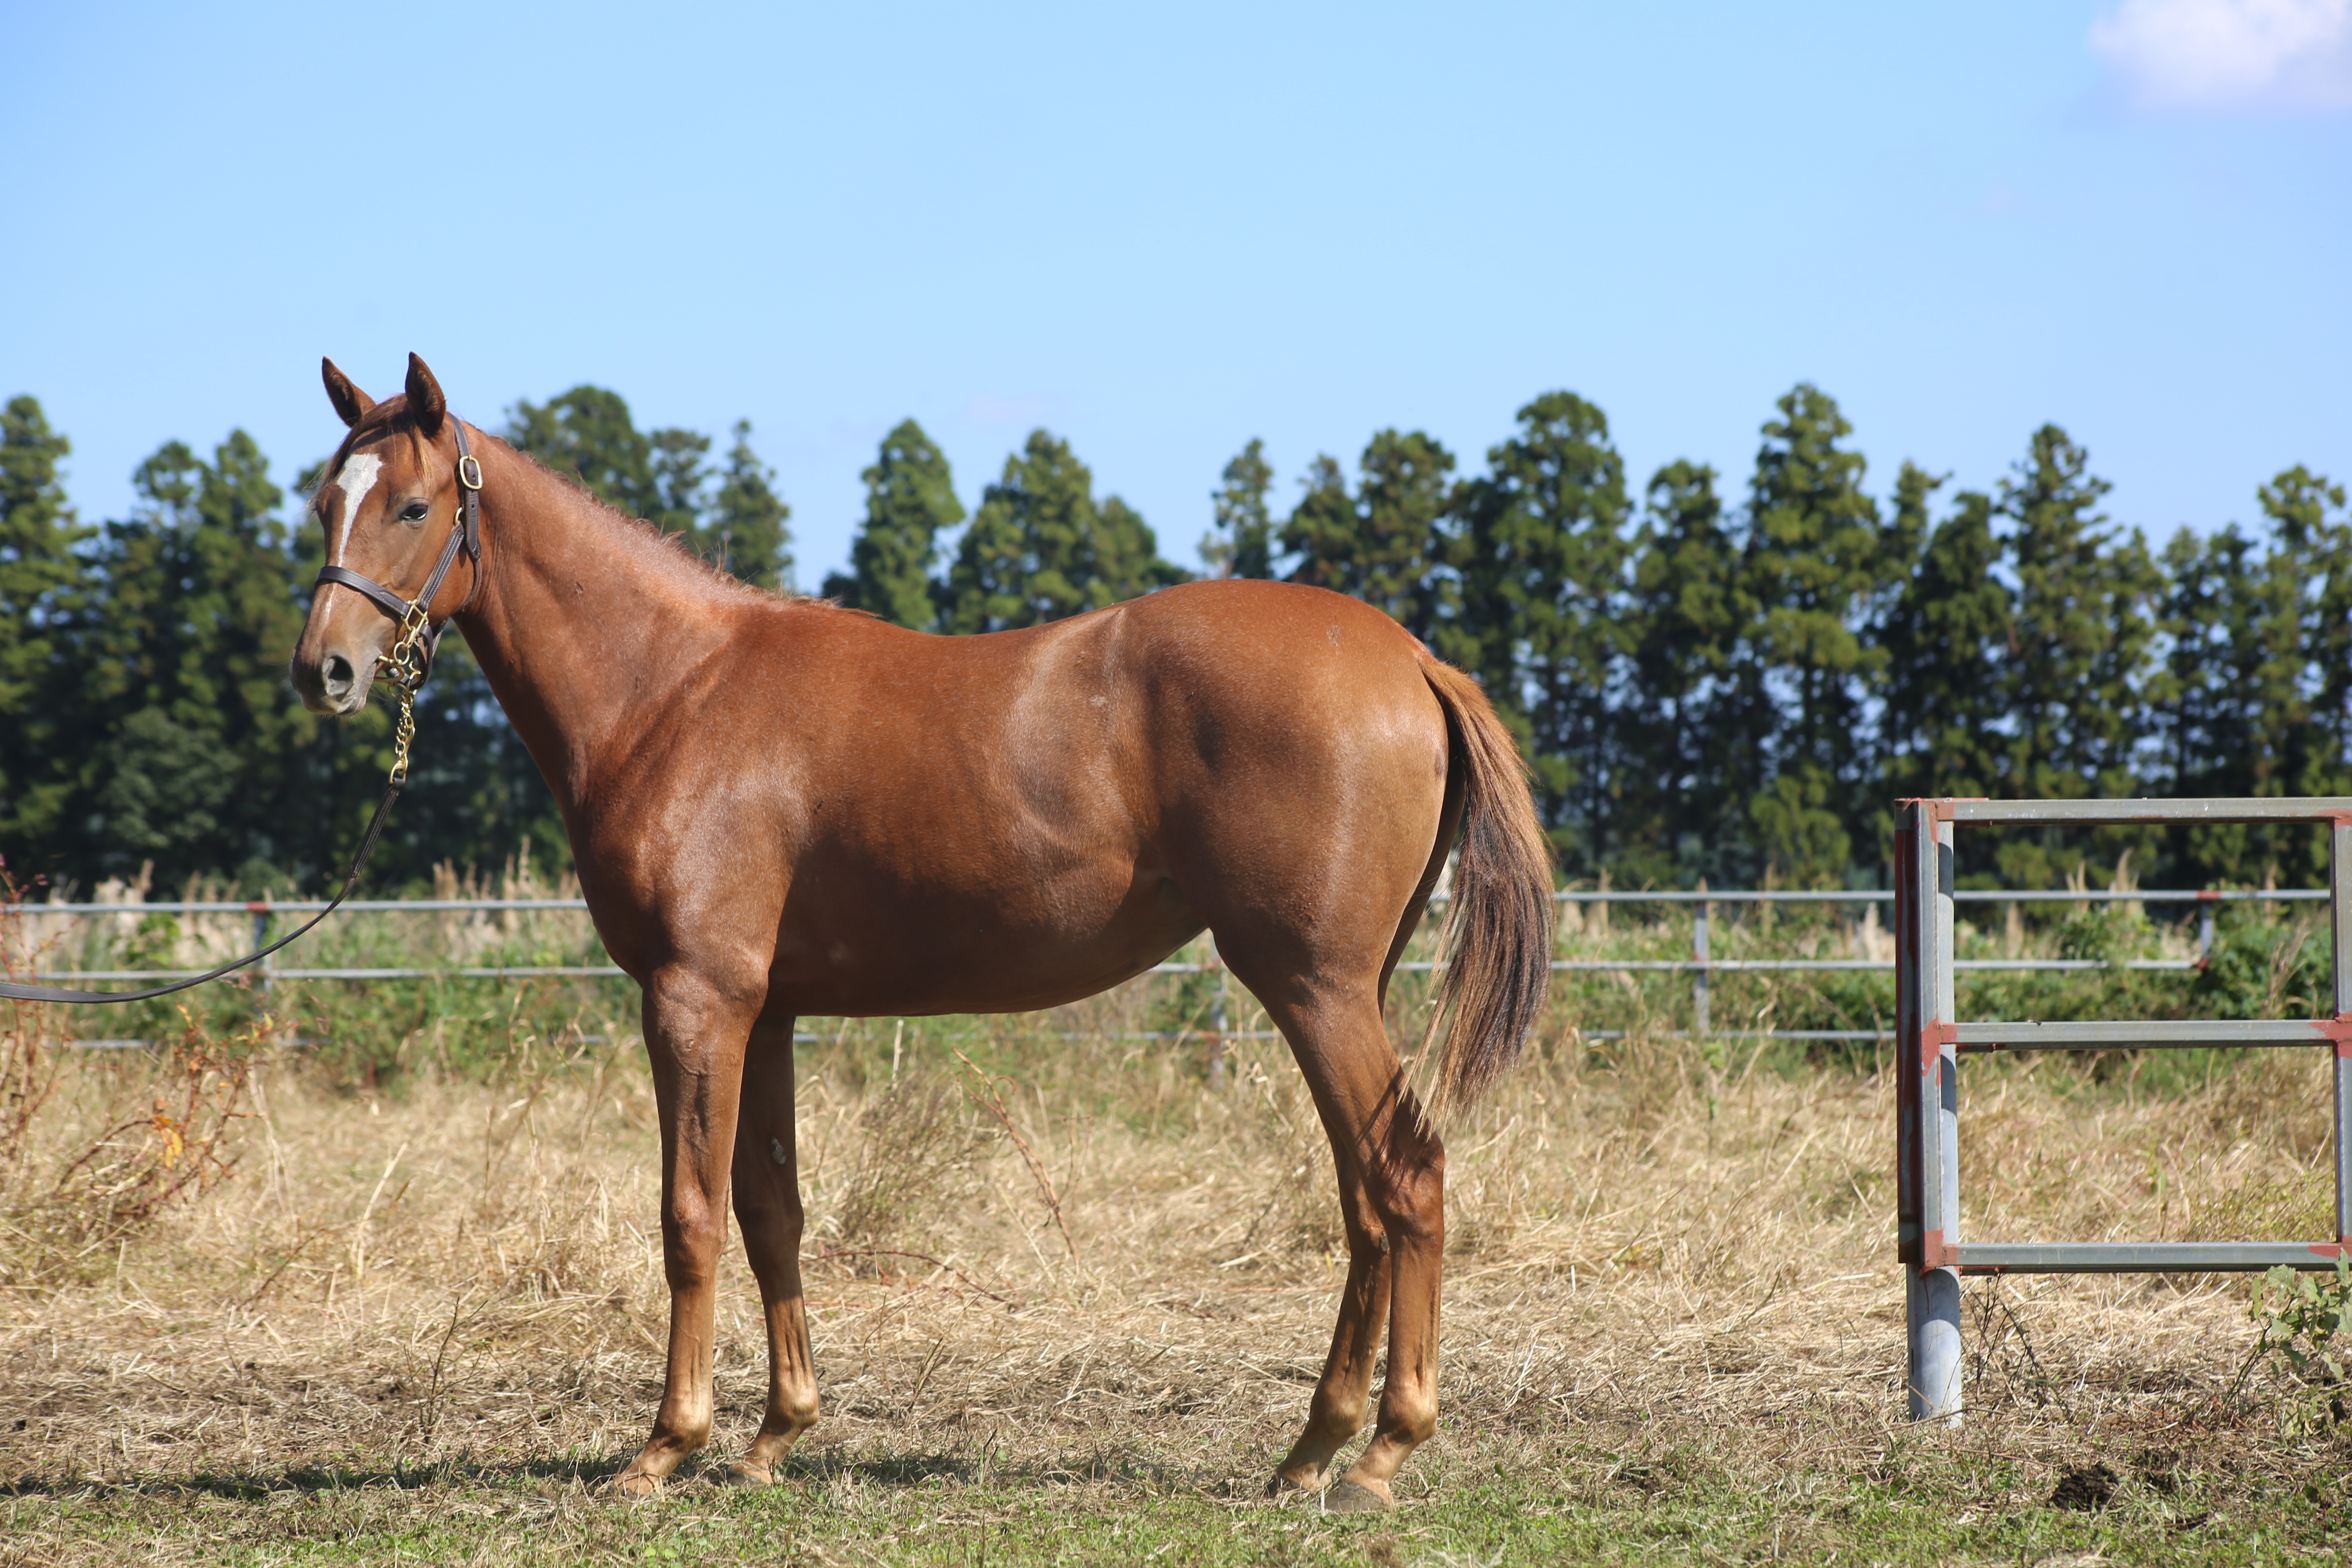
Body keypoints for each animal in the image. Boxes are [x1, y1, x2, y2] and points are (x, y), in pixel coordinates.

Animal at [284, 355, 1552, 1504]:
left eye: (412, 505)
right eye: (322, 501)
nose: (323, 671)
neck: (674, 688)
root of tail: (1412, 660)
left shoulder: (694, 998)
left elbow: (689, 1216)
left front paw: (664, 1448)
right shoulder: (767, 1013)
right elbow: (772, 1213)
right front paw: (773, 1437)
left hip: (1311, 987)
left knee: (1404, 1178)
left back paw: (1380, 1452)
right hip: (1338, 992)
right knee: (1365, 1198)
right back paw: (1311, 1450)